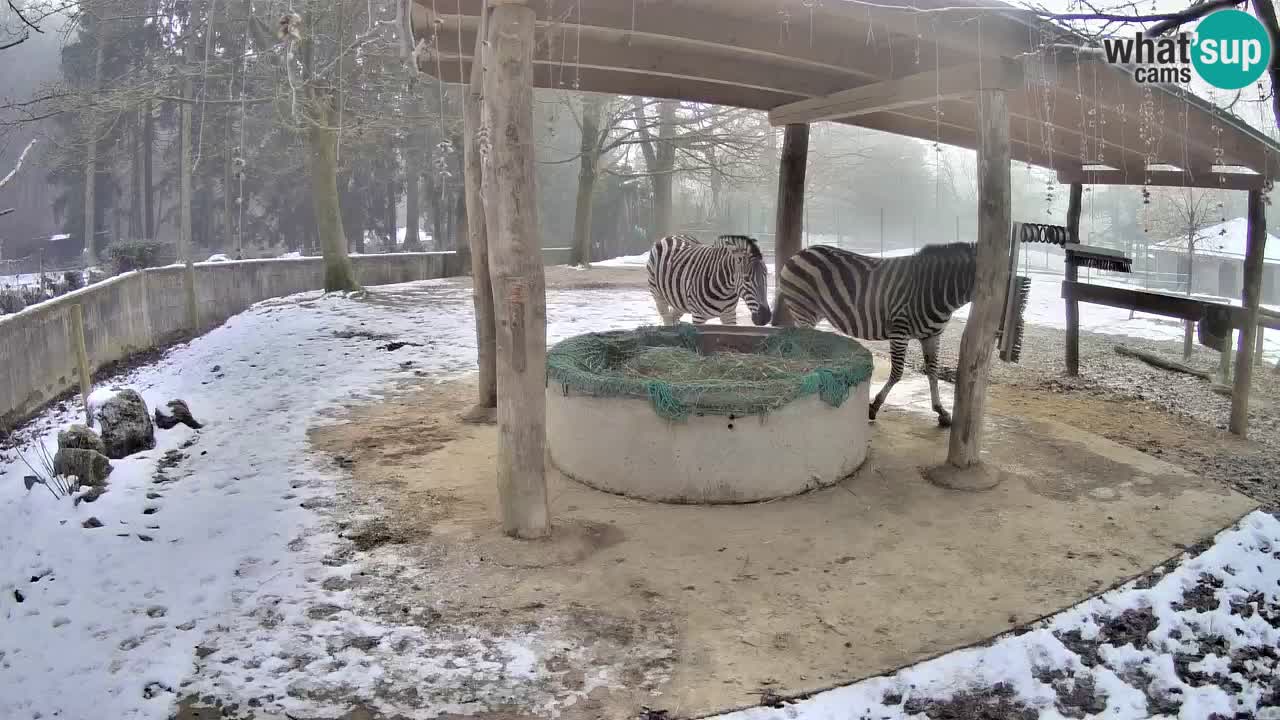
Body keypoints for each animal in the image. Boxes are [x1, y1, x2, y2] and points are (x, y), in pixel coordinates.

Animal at [768, 240, 977, 422]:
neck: (938, 288)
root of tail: (800, 252)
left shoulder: (932, 336)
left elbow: (932, 372)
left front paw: (941, 410)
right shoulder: (899, 330)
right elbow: (897, 373)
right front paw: (874, 406)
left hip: (811, 313)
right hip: (803, 309)